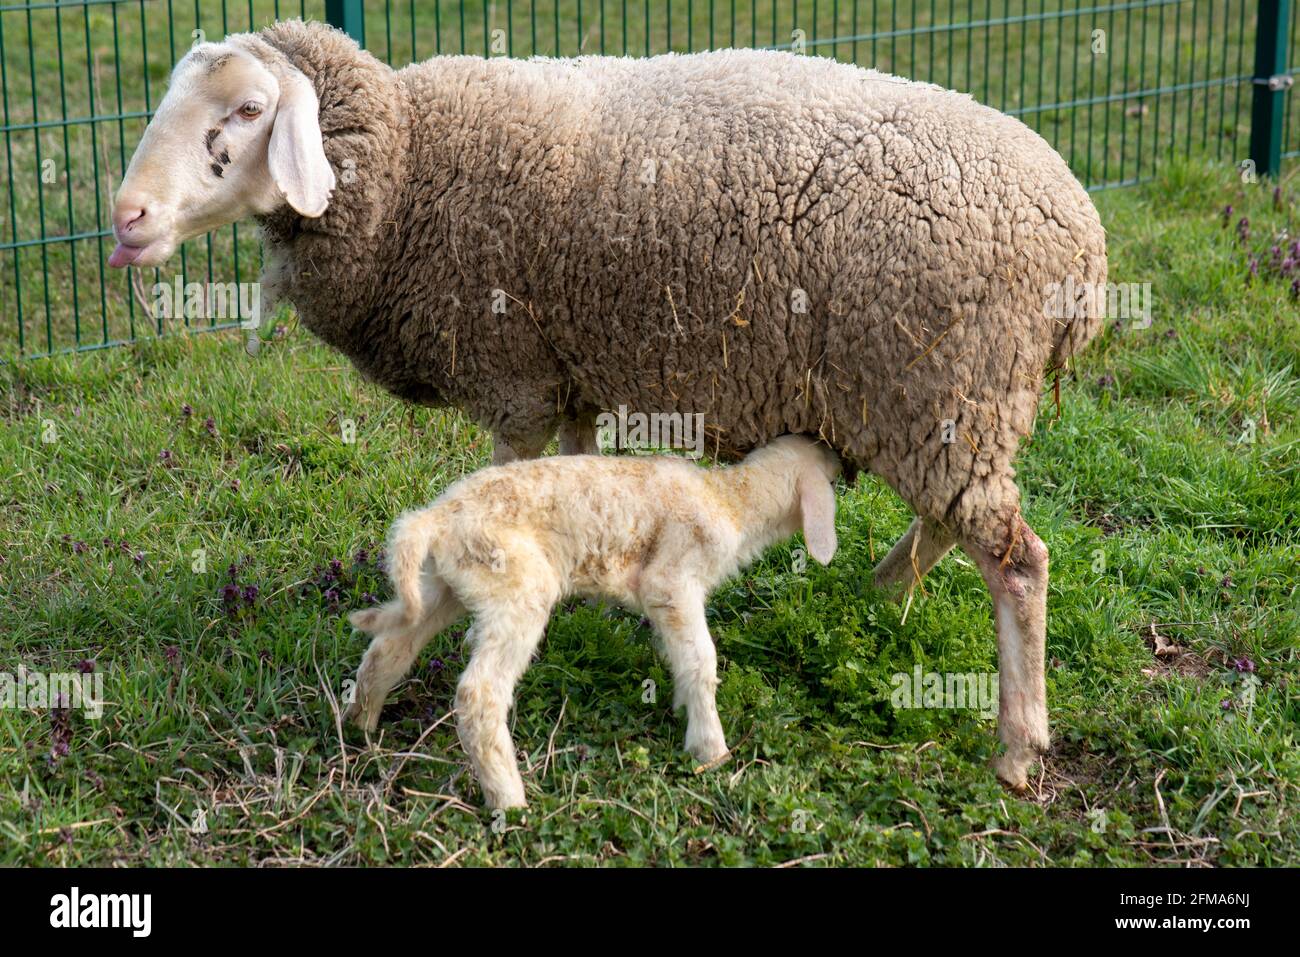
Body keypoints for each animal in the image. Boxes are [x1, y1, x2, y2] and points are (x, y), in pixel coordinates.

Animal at [346, 434, 840, 808]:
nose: (845, 464)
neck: (731, 499)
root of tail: (433, 518)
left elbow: (681, 659)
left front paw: (683, 712)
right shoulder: (672, 581)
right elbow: (701, 661)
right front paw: (711, 752)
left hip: (441, 586)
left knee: (389, 650)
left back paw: (360, 730)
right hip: (517, 587)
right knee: (478, 694)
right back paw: (510, 801)